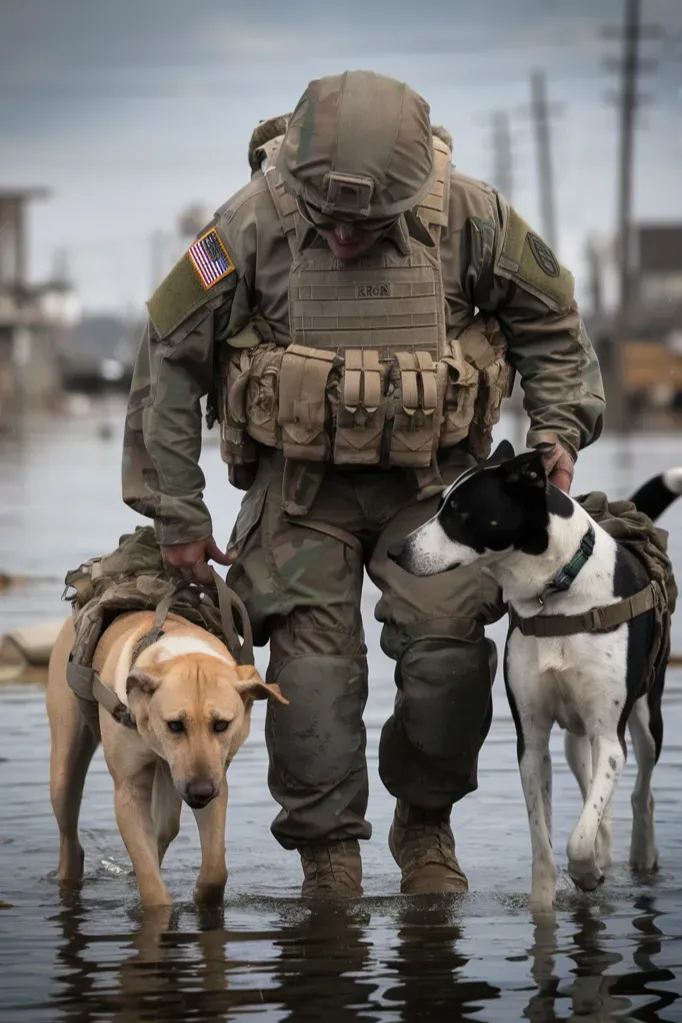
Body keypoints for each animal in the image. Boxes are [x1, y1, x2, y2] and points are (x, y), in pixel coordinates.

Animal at [47, 605, 288, 904]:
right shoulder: (129, 789)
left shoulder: (214, 782)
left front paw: (202, 894)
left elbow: (215, 870)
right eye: (174, 725)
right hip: (65, 770)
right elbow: (152, 886)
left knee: (165, 830)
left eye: (222, 725)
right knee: (70, 830)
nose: (200, 791)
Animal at [386, 443, 678, 908]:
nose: (396, 551)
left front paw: (586, 875)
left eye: (460, 513)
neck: (558, 593)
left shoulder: (608, 736)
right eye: (438, 505)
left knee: (641, 791)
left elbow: (577, 839)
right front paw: (547, 898)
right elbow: (544, 840)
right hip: (576, 739)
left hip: (647, 719)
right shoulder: (533, 740)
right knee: (594, 795)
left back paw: (641, 856)